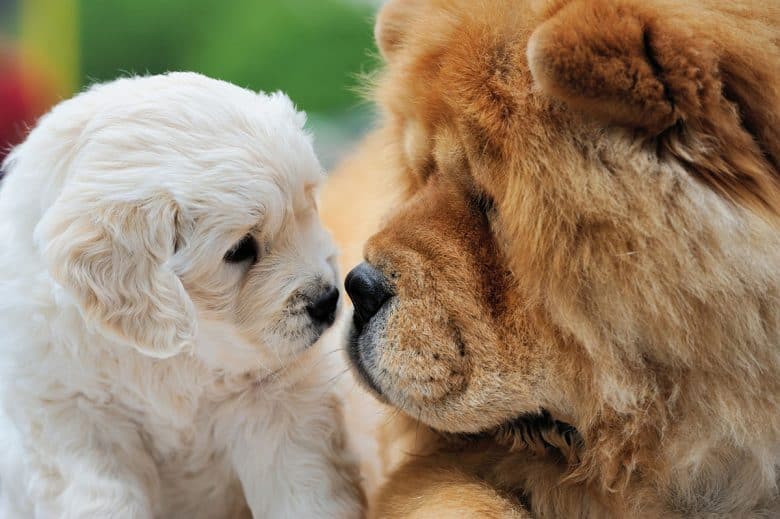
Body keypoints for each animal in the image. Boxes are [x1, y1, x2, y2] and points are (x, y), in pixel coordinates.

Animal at [0, 73, 366, 519]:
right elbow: (102, 499)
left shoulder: (278, 404)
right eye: (241, 249)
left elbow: (303, 490)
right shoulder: (78, 419)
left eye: (308, 208)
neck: (178, 356)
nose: (328, 299)